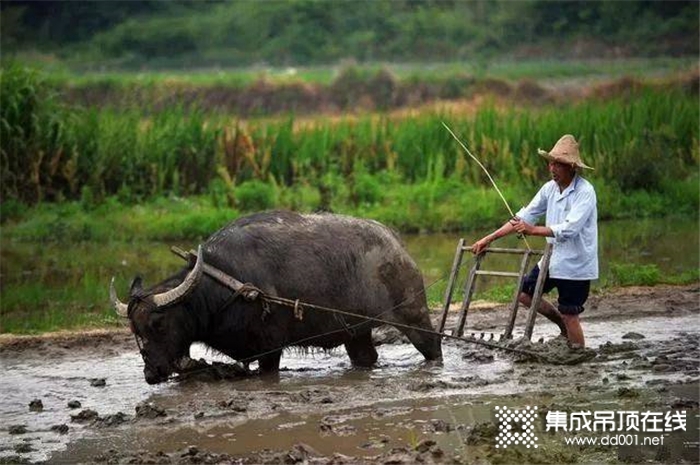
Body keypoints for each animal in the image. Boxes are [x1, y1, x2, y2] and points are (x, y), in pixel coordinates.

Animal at [110, 211, 442, 384]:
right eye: (135, 329)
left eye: (158, 324)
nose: (151, 373)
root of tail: (396, 246)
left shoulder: (269, 349)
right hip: (356, 332)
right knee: (366, 357)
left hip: (414, 316)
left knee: (433, 347)